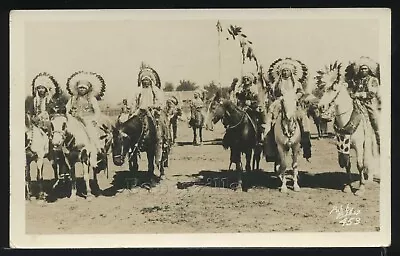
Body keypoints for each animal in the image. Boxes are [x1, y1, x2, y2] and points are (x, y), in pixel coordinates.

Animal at [318, 61, 380, 195]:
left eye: (334, 89)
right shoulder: (342, 146)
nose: (321, 106)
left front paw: (361, 188)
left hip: (371, 142)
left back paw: (370, 179)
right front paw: (347, 186)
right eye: (324, 89)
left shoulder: (359, 146)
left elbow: (360, 165)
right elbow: (347, 164)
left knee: (371, 158)